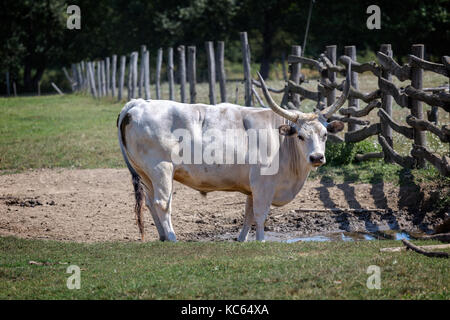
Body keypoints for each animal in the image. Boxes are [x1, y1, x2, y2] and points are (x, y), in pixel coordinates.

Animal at [118, 69, 350, 240]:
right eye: (301, 136)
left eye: (325, 134)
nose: (317, 157)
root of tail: (138, 103)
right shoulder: (263, 184)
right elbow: (260, 215)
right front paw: (261, 241)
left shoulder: (251, 188)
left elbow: (248, 214)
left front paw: (242, 240)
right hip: (161, 169)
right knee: (162, 203)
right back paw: (173, 238)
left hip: (146, 174)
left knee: (150, 202)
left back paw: (163, 238)